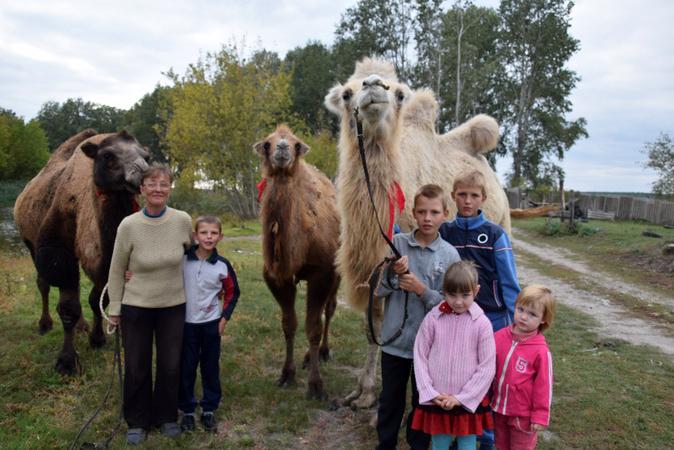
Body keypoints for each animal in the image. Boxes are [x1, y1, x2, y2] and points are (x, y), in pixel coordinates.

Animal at [12, 129, 150, 372]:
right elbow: (68, 308)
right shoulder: (57, 247)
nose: (143, 174)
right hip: (29, 242)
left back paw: (82, 327)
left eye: (147, 156)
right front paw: (67, 362)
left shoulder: (106, 262)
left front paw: (97, 339)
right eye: (108, 155)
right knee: (44, 283)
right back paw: (45, 324)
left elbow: (98, 300)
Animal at [252, 125, 338, 400]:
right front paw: (286, 374)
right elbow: (289, 324)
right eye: (267, 143)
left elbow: (313, 327)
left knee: (329, 309)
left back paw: (322, 352)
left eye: (297, 144)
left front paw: (316, 386)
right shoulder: (276, 275)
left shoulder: (322, 272)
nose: (282, 148)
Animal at [322, 57, 506, 408]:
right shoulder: (373, 271)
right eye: (348, 93)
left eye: (399, 93)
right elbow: (374, 322)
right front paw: (362, 392)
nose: (374, 87)